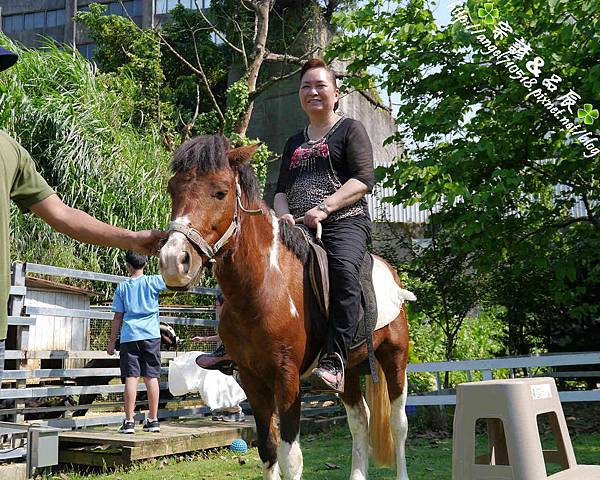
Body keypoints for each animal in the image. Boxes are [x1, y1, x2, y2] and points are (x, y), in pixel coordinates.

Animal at [159, 136, 412, 480]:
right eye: (173, 189)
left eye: (221, 192)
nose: (174, 262)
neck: (265, 287)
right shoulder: (252, 378)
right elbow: (267, 449)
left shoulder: (287, 377)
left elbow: (290, 457)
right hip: (346, 372)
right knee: (360, 420)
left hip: (394, 359)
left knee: (399, 424)